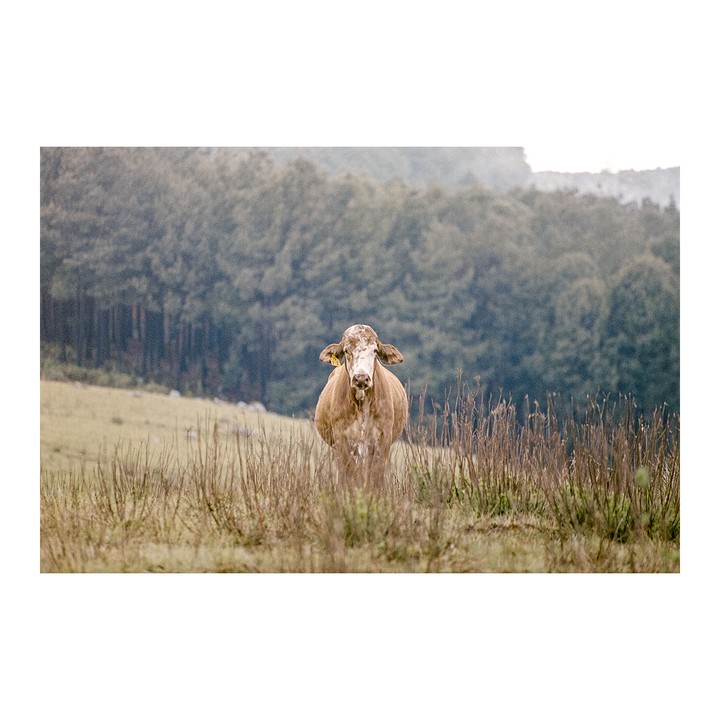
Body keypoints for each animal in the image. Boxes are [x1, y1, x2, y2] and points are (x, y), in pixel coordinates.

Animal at [315, 324, 408, 487]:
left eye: (375, 350)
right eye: (346, 350)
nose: (361, 378)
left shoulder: (382, 440)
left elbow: (375, 477)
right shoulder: (342, 440)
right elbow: (350, 476)